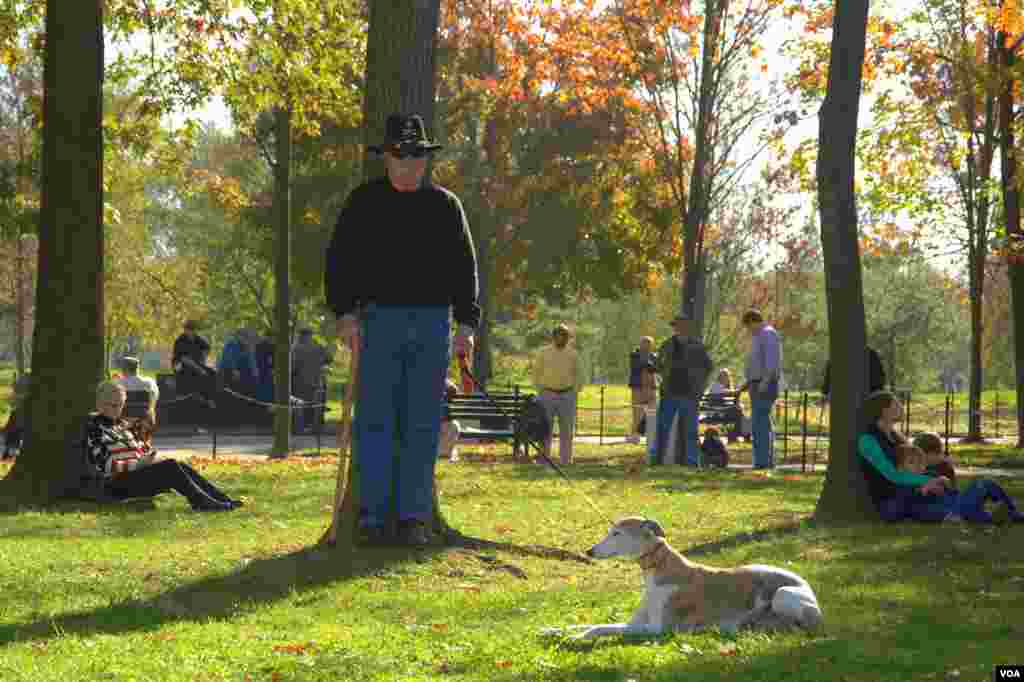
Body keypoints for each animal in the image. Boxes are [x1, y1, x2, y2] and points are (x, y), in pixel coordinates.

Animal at [544, 516, 823, 638]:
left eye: (617, 533)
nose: (589, 551)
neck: (659, 568)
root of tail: (804, 582)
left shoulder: (657, 629)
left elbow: (599, 628)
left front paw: (575, 639)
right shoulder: (639, 623)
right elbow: (587, 624)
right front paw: (552, 629)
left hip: (783, 594)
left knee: (803, 626)